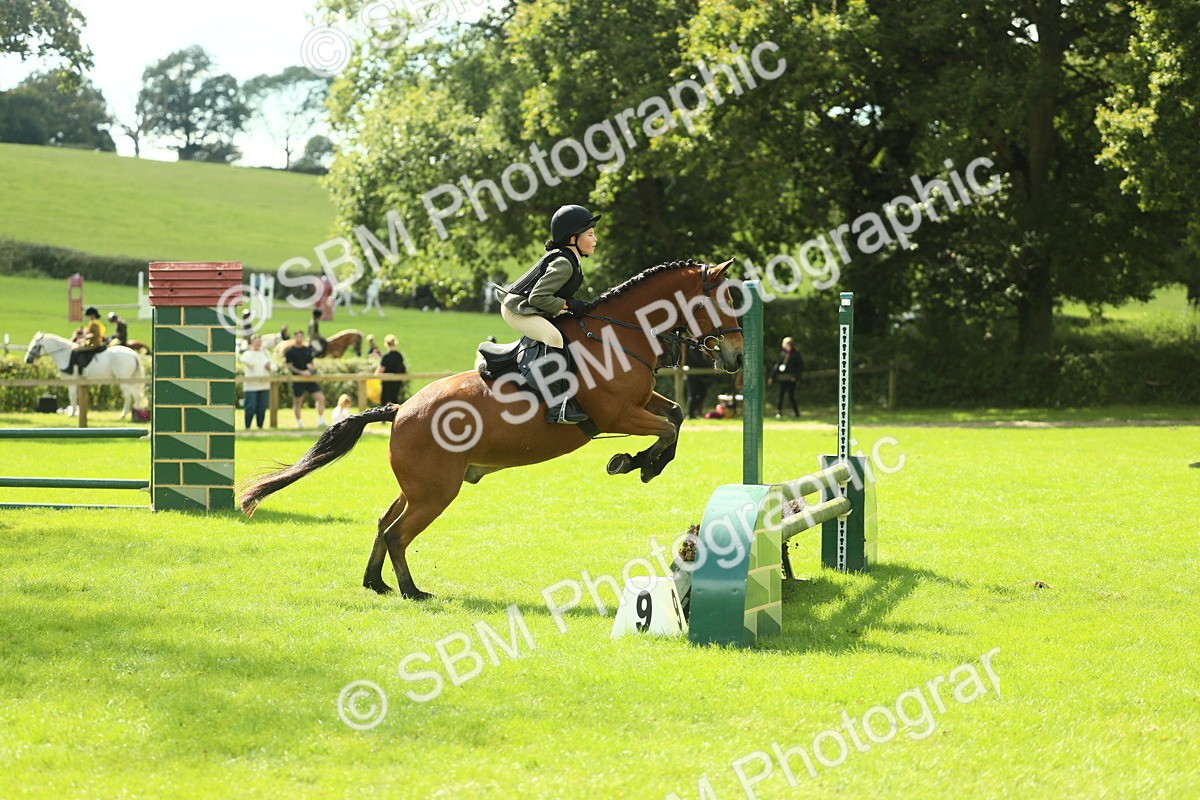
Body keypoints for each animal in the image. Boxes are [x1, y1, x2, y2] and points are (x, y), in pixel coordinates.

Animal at [238, 259, 745, 599]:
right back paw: (412, 591)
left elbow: (675, 417)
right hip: (436, 491)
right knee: (398, 533)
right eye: (722, 300)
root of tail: (400, 410)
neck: (619, 334)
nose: (737, 357)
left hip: (419, 487)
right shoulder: (617, 414)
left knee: (384, 523)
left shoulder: (638, 404)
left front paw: (642, 463)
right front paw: (634, 463)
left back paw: (375, 583)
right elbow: (667, 428)